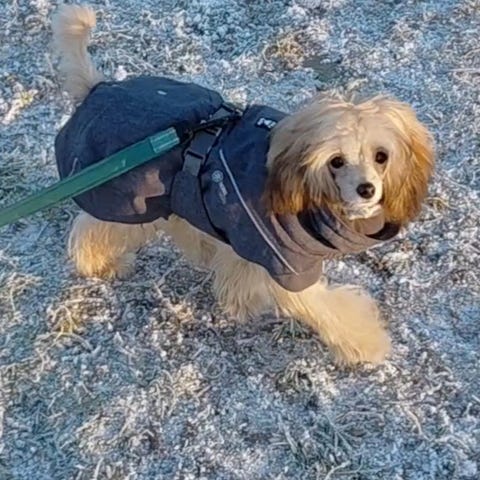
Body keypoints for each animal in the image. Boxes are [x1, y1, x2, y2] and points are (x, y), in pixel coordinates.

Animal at [51, 4, 434, 365]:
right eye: (336, 161)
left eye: (381, 156)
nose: (367, 189)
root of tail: (96, 88)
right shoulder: (286, 263)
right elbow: (324, 306)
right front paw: (367, 344)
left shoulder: (253, 241)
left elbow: (241, 271)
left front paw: (240, 300)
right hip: (126, 198)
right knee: (92, 230)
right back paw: (102, 264)